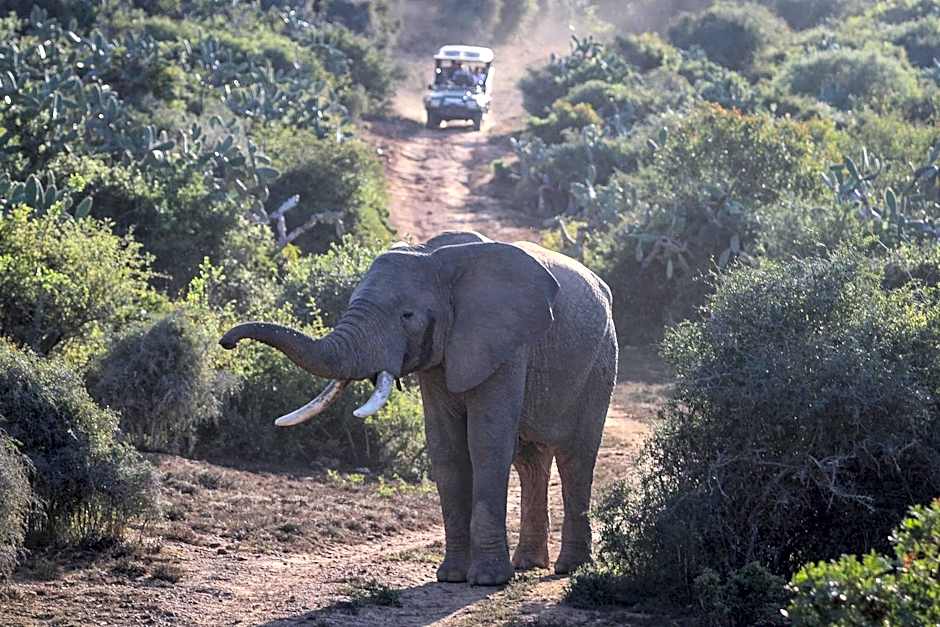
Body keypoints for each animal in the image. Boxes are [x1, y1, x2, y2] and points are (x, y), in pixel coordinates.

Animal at [219, 231, 618, 586]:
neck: (437, 259)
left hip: (601, 361)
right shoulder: (441, 357)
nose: (227, 342)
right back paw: (528, 565)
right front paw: (451, 577)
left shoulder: (506, 344)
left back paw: (570, 568)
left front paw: (487, 581)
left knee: (575, 458)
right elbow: (446, 449)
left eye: (407, 316)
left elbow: (486, 443)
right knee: (531, 461)